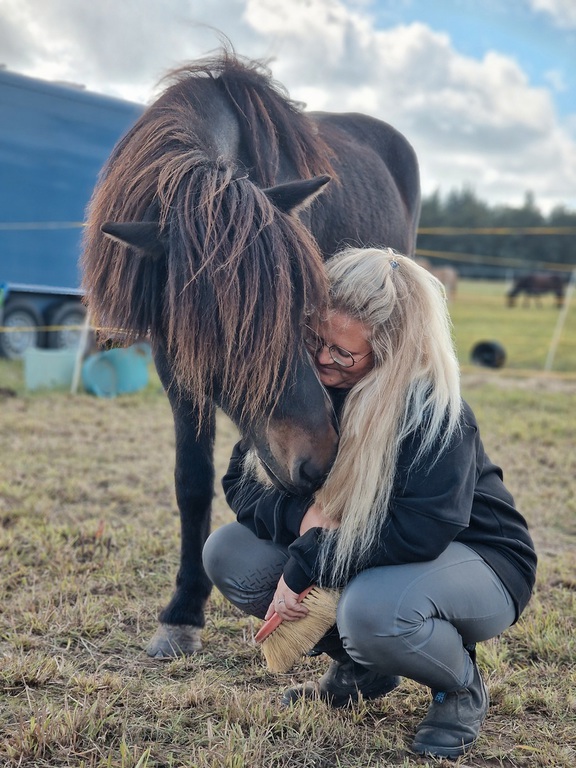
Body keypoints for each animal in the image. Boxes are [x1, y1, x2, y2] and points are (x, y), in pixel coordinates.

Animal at [81, 51, 421, 658]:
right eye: (214, 330)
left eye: (306, 305)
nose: (317, 462)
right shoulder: (177, 367)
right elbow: (193, 481)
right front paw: (182, 613)